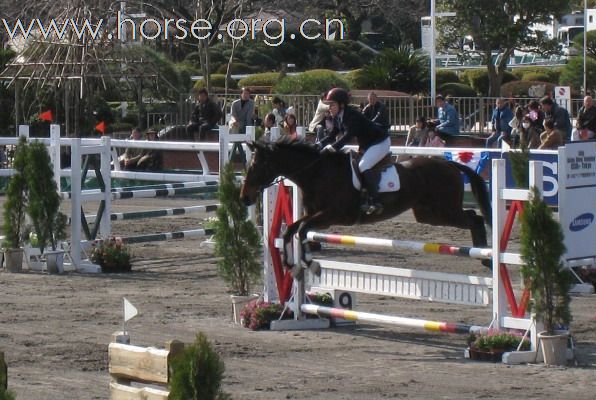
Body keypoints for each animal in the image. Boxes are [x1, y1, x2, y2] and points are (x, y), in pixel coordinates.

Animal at [240, 138, 492, 276]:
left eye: (256, 167)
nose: (244, 198)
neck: (317, 173)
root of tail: (450, 164)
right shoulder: (314, 215)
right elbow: (290, 231)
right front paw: (291, 266)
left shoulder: (333, 215)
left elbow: (302, 231)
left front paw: (312, 266)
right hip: (428, 214)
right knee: (472, 217)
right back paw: (484, 257)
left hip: (443, 210)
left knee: (475, 218)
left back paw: (487, 257)